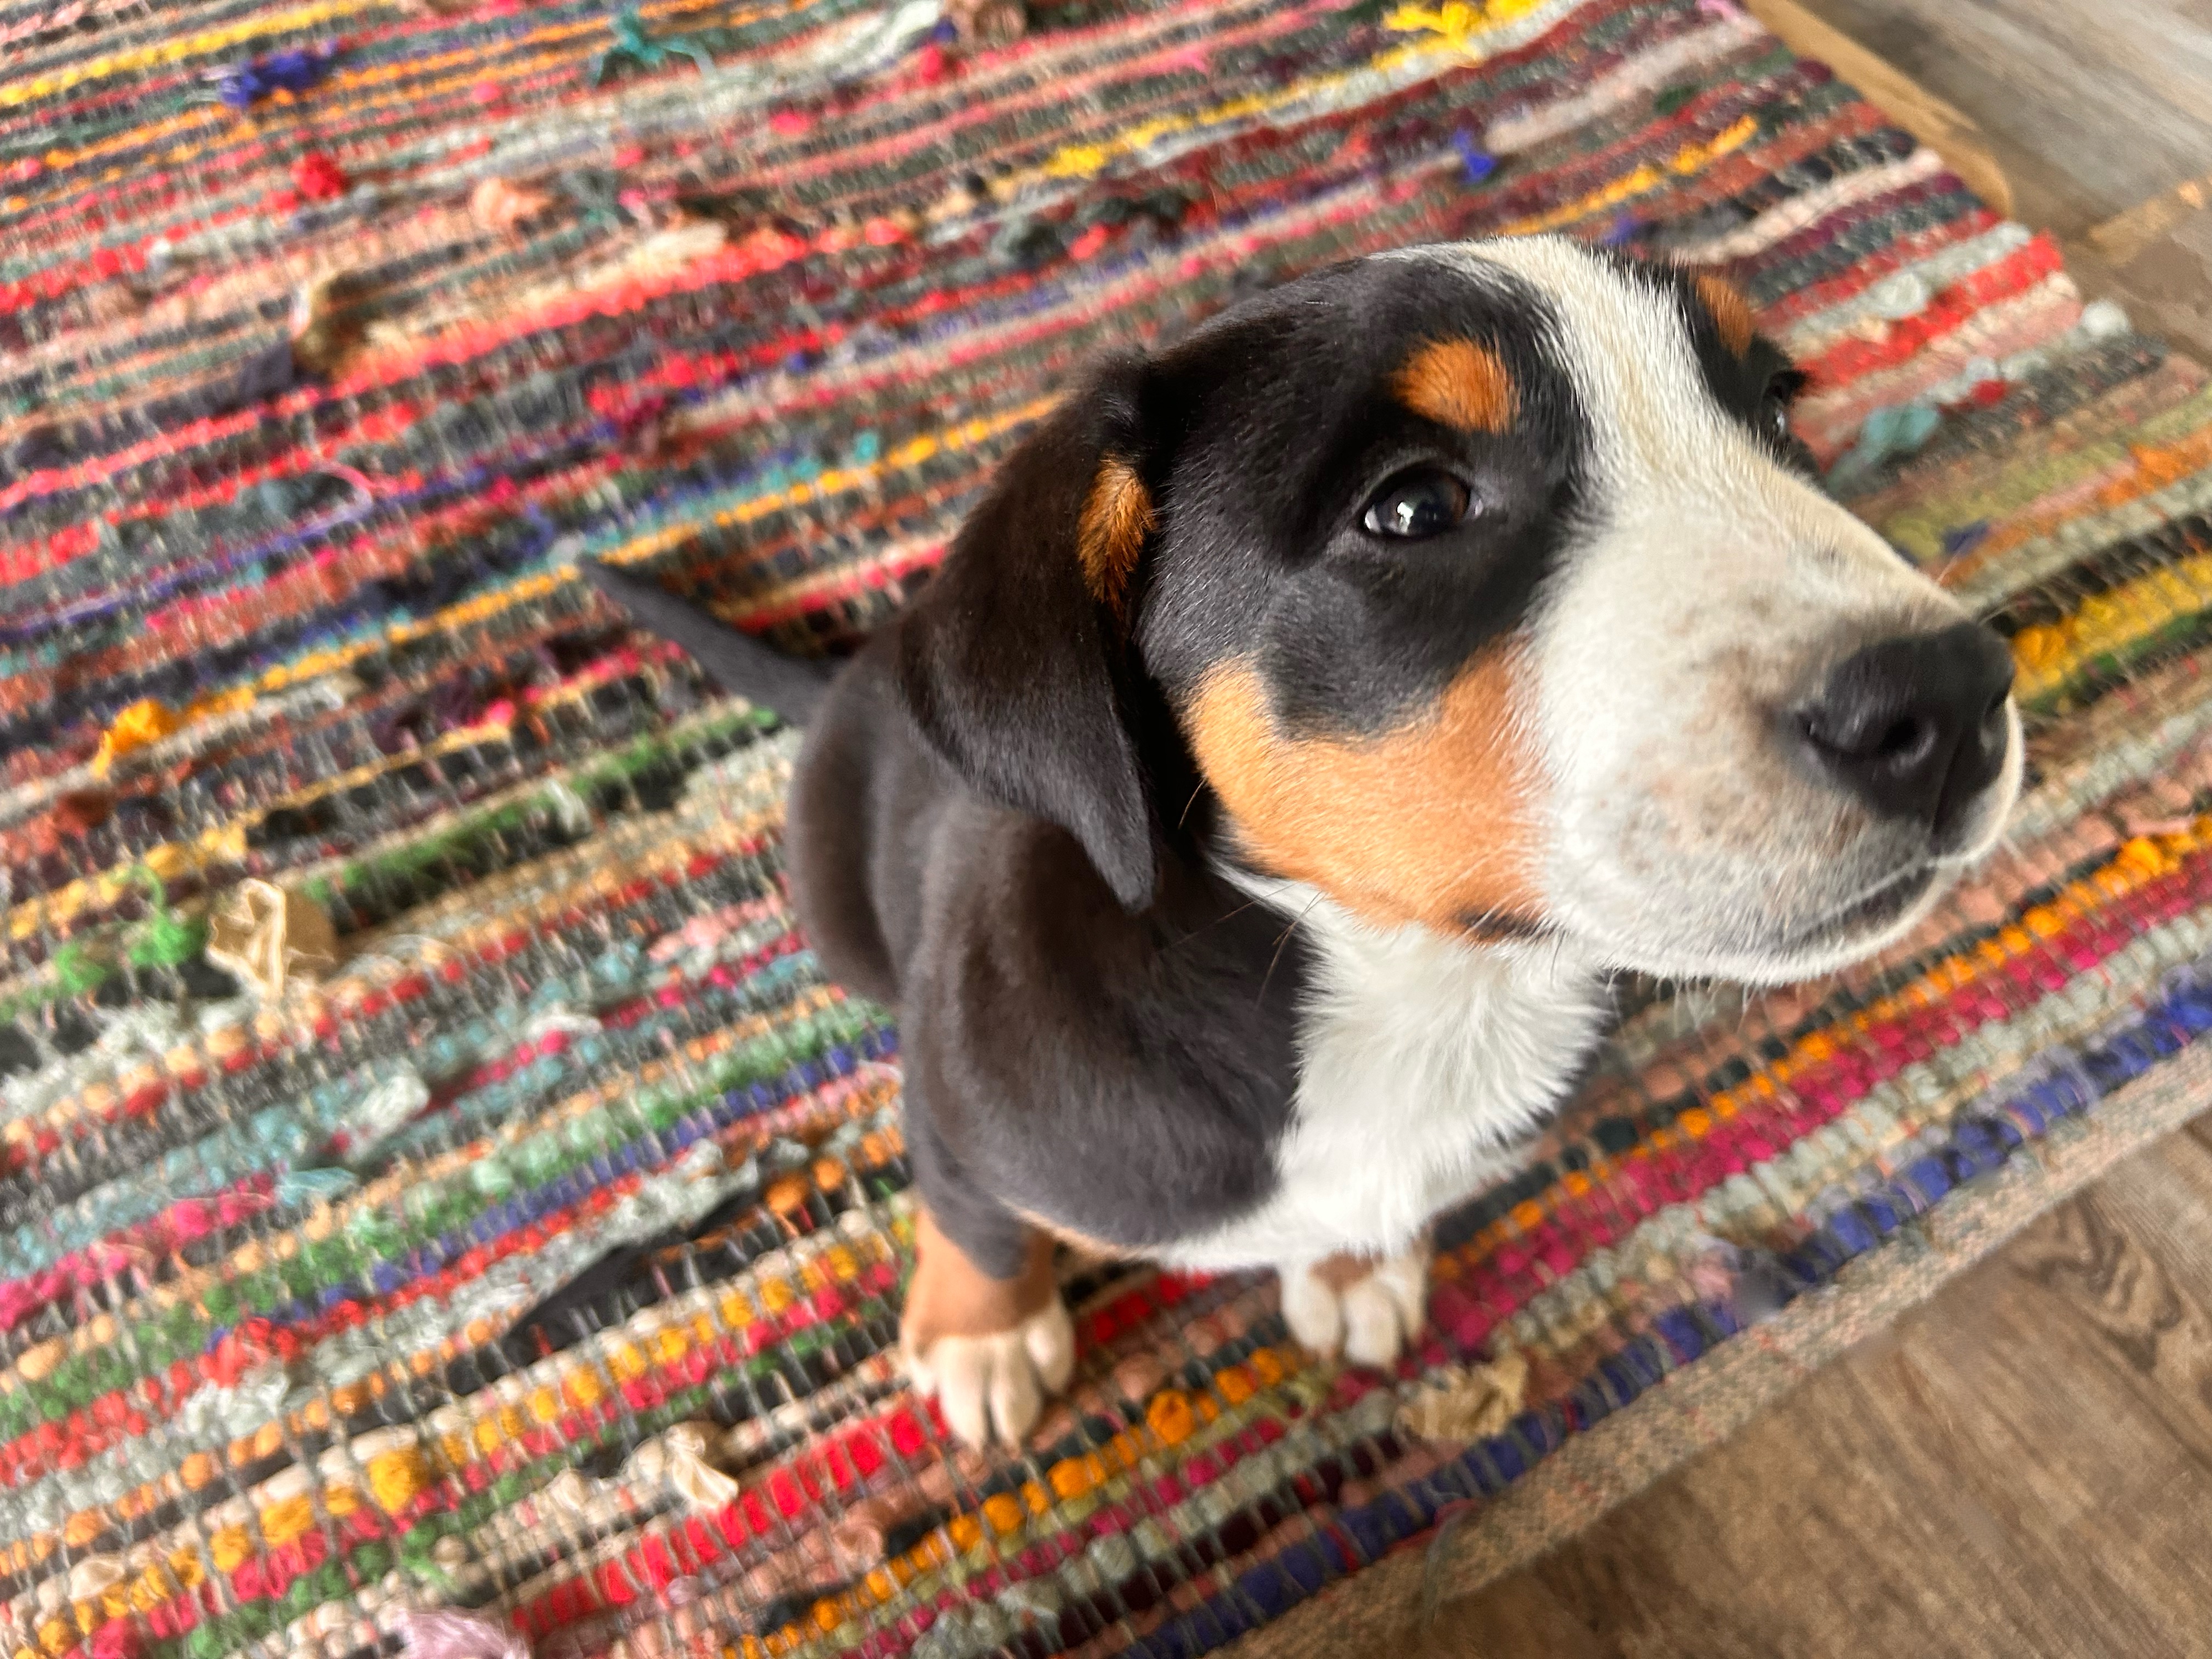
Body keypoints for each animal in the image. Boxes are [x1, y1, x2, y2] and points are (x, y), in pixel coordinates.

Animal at [585, 233, 2022, 1450]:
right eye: (1413, 508)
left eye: (1776, 409)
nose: (1955, 695)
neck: (1413, 986)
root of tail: (847, 679)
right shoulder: (959, 1109)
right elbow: (975, 1219)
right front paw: (981, 1337)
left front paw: (1353, 1263)